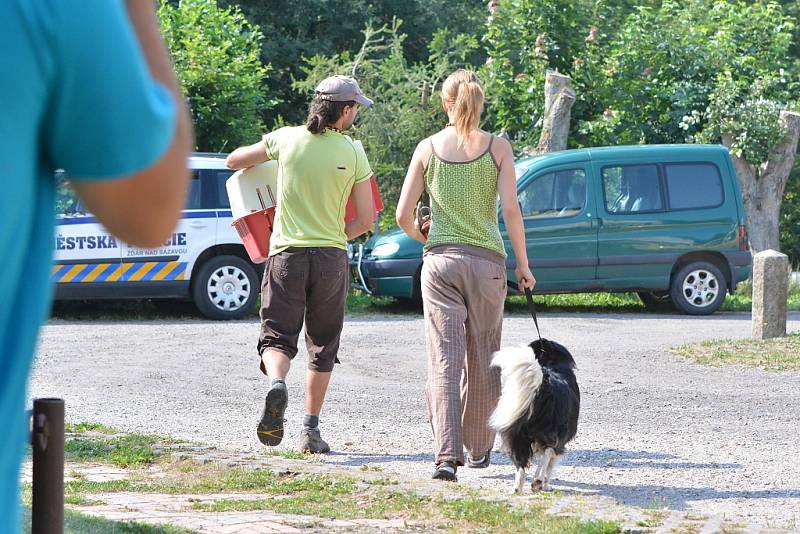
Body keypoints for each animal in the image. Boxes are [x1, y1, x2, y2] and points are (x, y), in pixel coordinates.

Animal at [490, 342, 580, 496]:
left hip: (517, 435)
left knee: (521, 465)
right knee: (548, 453)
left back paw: (517, 489)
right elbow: (550, 466)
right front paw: (546, 485)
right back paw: (537, 482)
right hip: (552, 433)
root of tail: (544, 384)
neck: (552, 364)